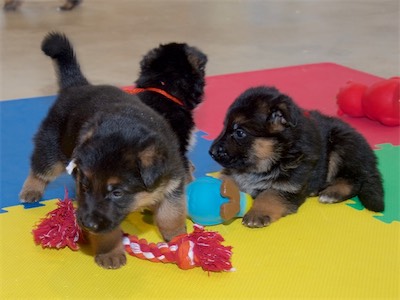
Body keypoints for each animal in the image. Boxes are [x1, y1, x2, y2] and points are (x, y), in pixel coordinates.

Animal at [18, 31, 188, 268]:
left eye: (117, 193)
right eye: (85, 186)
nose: (87, 224)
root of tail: (78, 86)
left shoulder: (173, 182)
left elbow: (171, 214)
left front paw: (178, 236)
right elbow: (107, 230)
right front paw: (109, 252)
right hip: (52, 147)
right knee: (40, 167)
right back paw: (31, 190)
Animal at [209, 85, 384, 227]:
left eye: (239, 132)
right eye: (224, 127)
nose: (211, 152)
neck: (273, 157)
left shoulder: (289, 185)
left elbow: (270, 194)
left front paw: (257, 213)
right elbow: (226, 179)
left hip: (340, 145)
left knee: (355, 179)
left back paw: (331, 193)